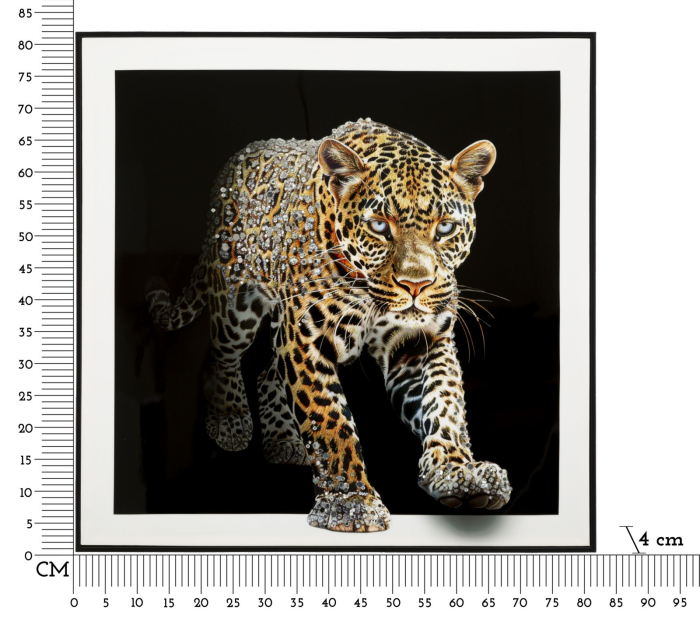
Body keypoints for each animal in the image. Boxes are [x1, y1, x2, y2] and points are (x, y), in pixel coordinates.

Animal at [145, 118, 512, 532]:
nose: (416, 285)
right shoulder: (306, 339)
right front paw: (349, 501)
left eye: (446, 228)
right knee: (220, 355)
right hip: (235, 303)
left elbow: (444, 402)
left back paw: (284, 441)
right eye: (379, 226)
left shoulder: (420, 341)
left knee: (267, 372)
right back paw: (230, 420)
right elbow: (329, 419)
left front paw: (459, 473)